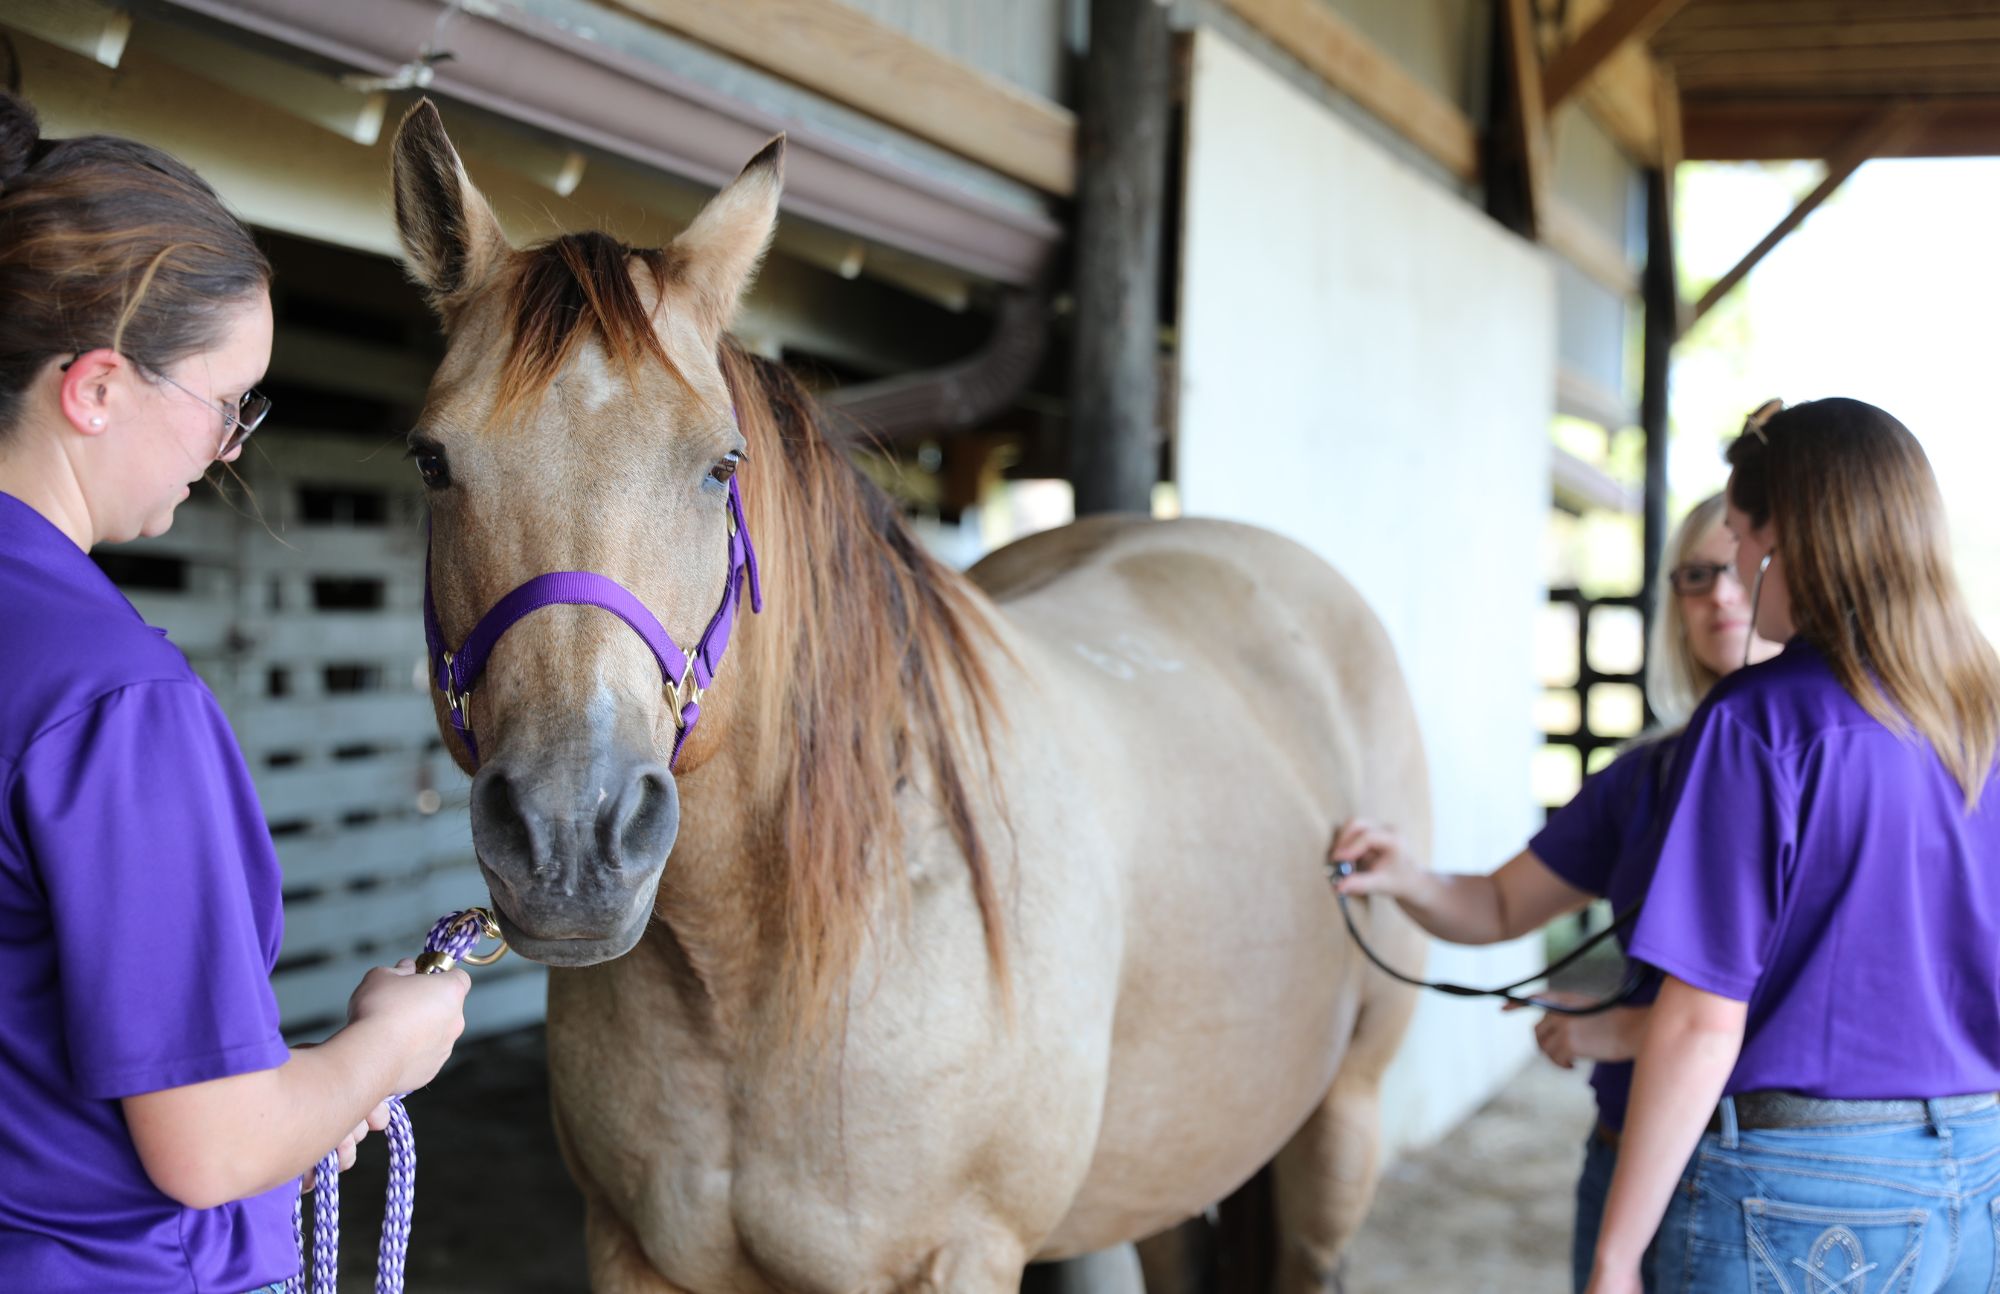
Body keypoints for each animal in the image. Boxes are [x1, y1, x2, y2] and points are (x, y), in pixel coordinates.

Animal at [386, 101, 1424, 1294]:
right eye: (432, 461)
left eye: (720, 465)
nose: (568, 837)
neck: (757, 977)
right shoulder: (629, 1248)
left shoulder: (958, 1257)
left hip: (1336, 1130)